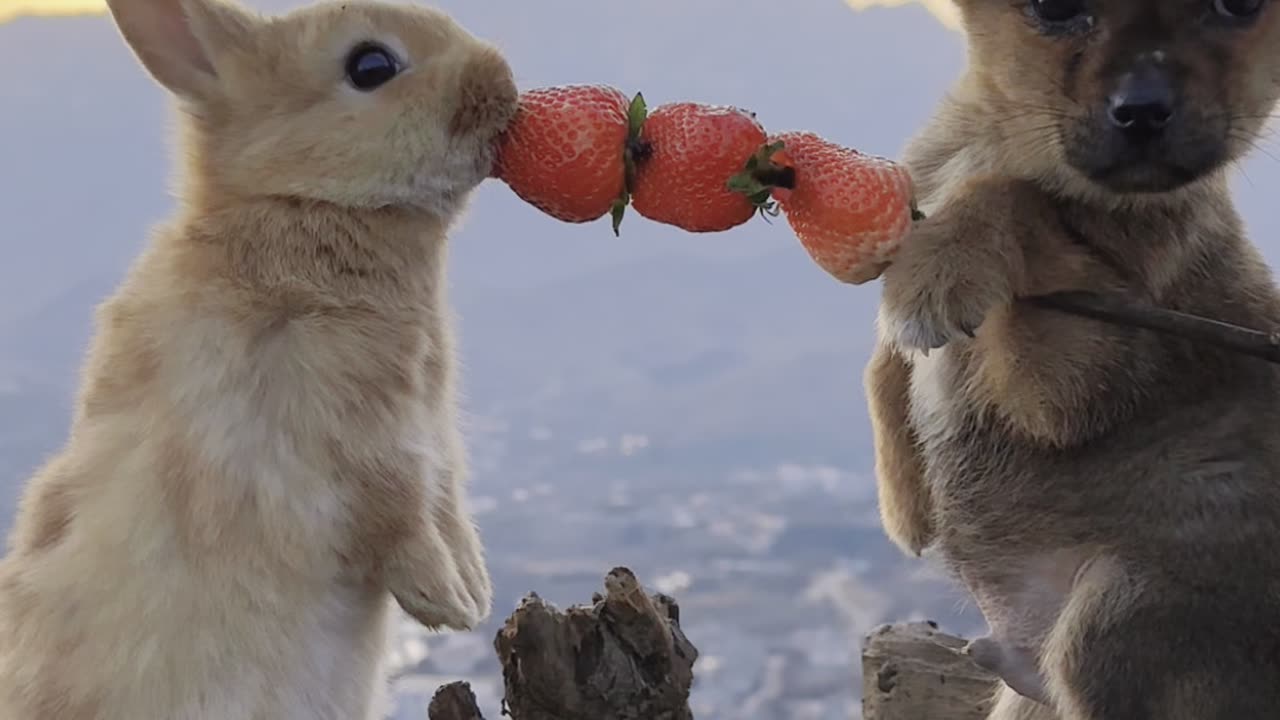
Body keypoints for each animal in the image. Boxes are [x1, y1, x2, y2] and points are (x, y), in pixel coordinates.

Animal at [0, 0, 519, 712]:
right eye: (371, 66)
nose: (505, 88)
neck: (297, 202)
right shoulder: (350, 429)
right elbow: (399, 513)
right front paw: (448, 603)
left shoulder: (432, 433)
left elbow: (449, 506)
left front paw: (474, 588)